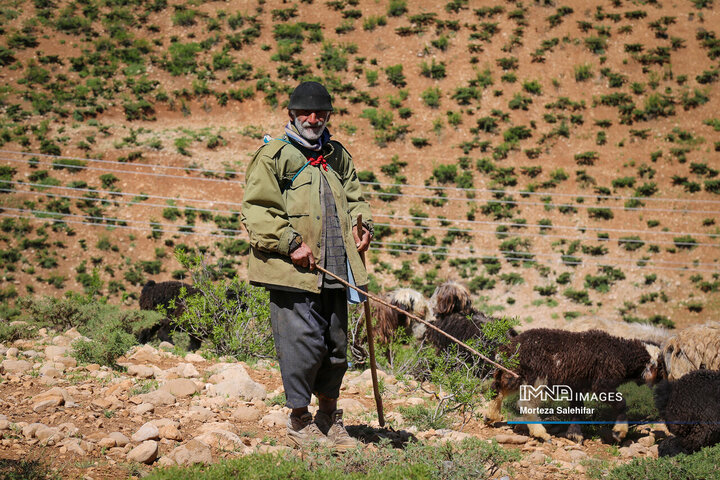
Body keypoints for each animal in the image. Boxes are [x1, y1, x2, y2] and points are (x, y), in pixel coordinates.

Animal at [484, 328, 660, 444]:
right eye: (660, 366)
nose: (658, 383)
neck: (619, 354)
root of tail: (509, 347)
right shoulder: (601, 384)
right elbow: (621, 403)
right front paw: (619, 432)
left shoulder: (576, 387)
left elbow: (577, 409)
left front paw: (574, 434)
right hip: (536, 377)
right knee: (526, 403)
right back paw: (541, 434)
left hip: (511, 373)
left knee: (496, 388)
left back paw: (490, 416)